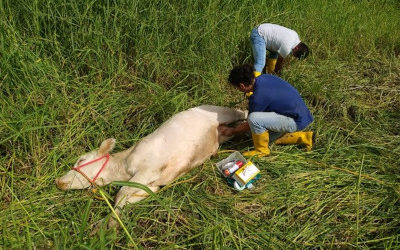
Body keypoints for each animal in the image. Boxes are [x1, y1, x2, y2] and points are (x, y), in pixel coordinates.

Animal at [55, 104, 247, 228]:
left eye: (81, 160)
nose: (58, 181)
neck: (124, 167)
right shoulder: (151, 185)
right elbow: (127, 199)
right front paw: (104, 224)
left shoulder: (149, 170)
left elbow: (121, 192)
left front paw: (110, 224)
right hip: (221, 135)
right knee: (230, 130)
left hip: (223, 112)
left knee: (241, 112)